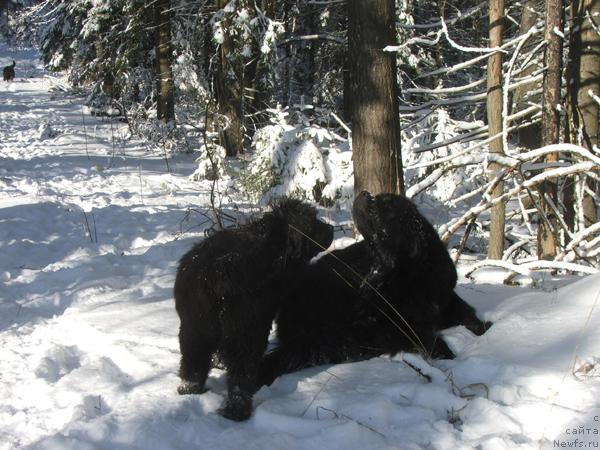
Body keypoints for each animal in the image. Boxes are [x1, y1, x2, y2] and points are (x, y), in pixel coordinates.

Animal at [173, 199, 332, 420]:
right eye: (313, 221)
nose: (331, 229)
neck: (276, 240)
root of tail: (213, 273)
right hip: (245, 330)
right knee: (241, 373)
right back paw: (238, 410)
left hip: (194, 327)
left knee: (193, 361)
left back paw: (190, 390)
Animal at [258, 192, 492, 384]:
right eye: (380, 200)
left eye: (385, 205)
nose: (366, 193)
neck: (406, 277)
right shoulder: (385, 326)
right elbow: (424, 338)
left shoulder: (442, 296)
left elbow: (468, 315)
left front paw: (485, 328)